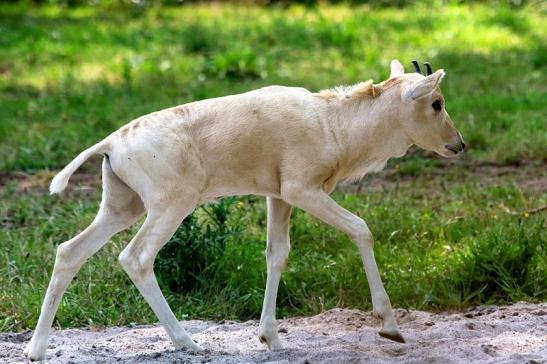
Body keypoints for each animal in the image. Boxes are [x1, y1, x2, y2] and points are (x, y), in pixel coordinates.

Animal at [23, 59, 464, 362]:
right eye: (437, 102)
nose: (459, 144)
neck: (330, 122)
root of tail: (112, 142)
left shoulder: (279, 197)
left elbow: (276, 254)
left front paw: (271, 337)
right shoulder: (302, 190)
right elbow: (360, 228)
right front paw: (390, 328)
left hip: (120, 208)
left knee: (70, 251)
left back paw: (36, 350)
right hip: (171, 206)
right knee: (136, 257)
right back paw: (188, 342)